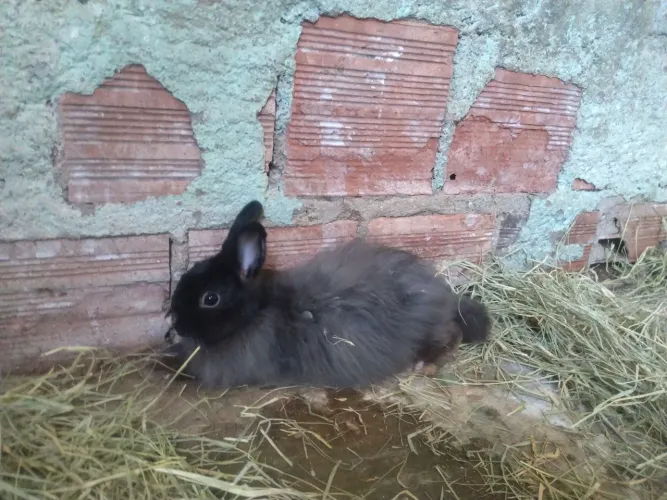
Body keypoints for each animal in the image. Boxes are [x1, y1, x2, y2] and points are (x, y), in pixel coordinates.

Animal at [163, 200, 491, 389]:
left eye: (210, 299)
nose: (175, 323)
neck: (256, 313)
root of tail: (446, 297)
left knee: (451, 337)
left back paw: (426, 366)